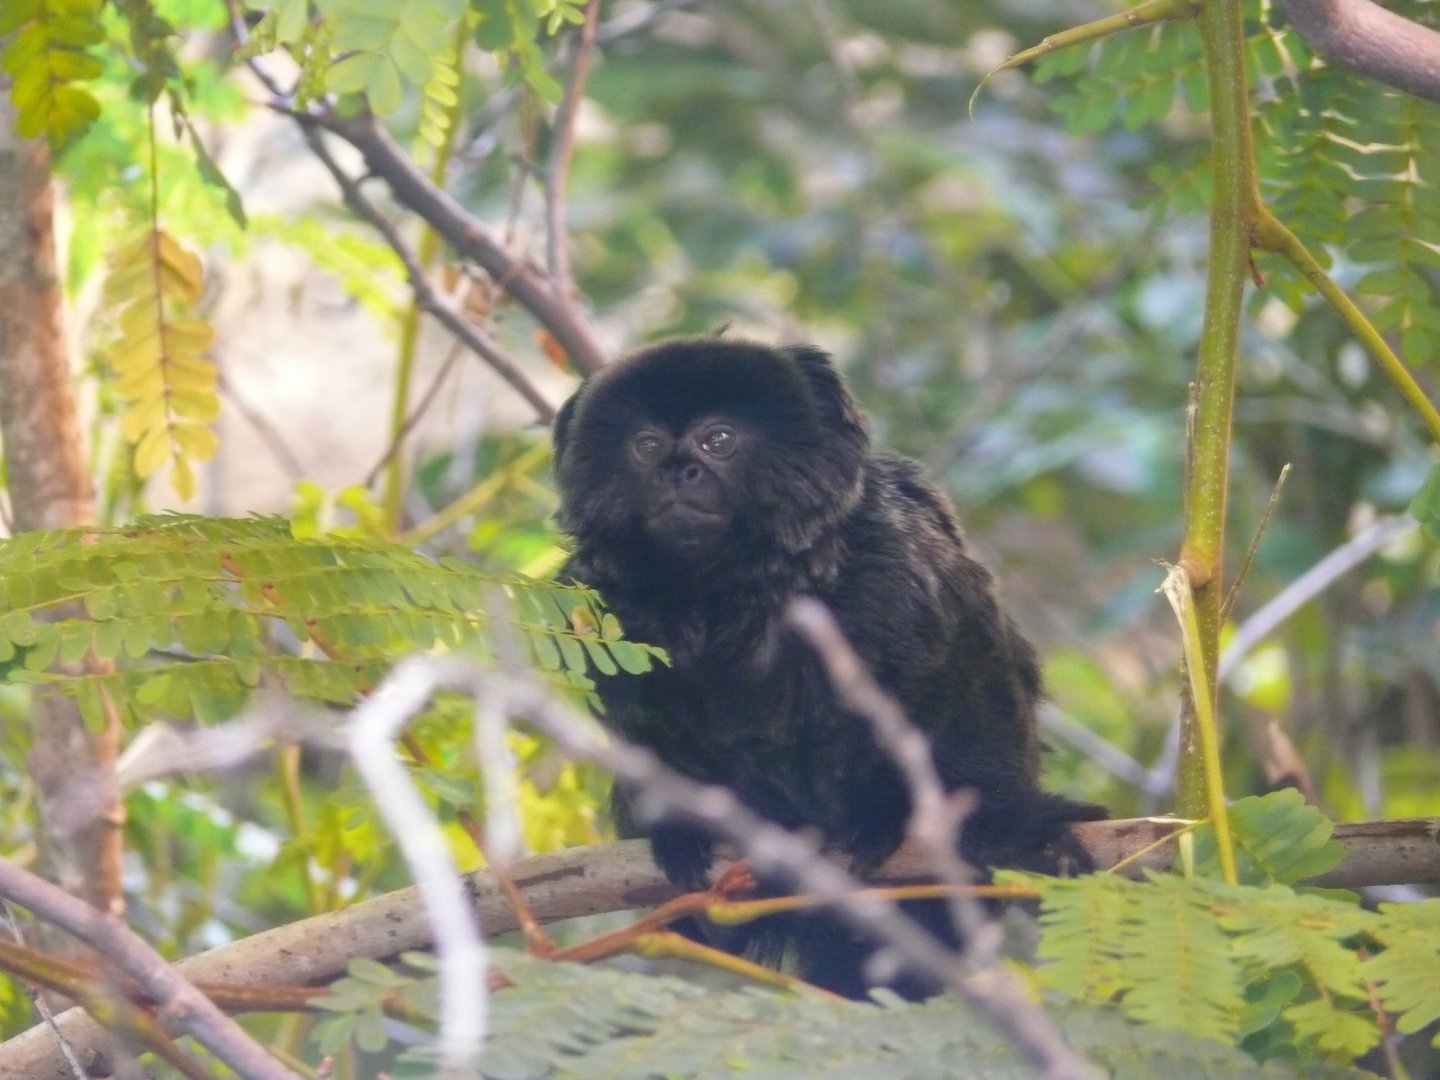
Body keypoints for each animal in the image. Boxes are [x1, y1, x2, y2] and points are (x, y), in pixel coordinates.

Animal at [552, 337, 1105, 997]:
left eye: (719, 440)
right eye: (648, 446)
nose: (677, 472)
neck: (726, 593)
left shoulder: (903, 565)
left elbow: (960, 681)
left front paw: (958, 822)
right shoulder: (602, 611)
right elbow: (646, 729)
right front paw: (683, 829)